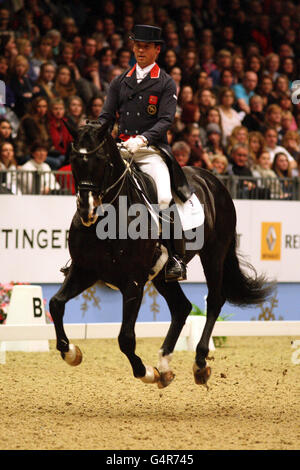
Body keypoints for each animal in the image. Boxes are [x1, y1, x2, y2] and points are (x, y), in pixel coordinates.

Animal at [49, 122, 274, 390]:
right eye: (73, 160)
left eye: (101, 159)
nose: (86, 210)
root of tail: (212, 180)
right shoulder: (84, 270)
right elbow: (55, 304)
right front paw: (71, 353)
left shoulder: (133, 281)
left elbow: (125, 338)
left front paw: (146, 372)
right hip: (161, 275)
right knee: (182, 307)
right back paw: (165, 366)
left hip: (213, 255)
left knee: (214, 301)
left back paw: (199, 364)